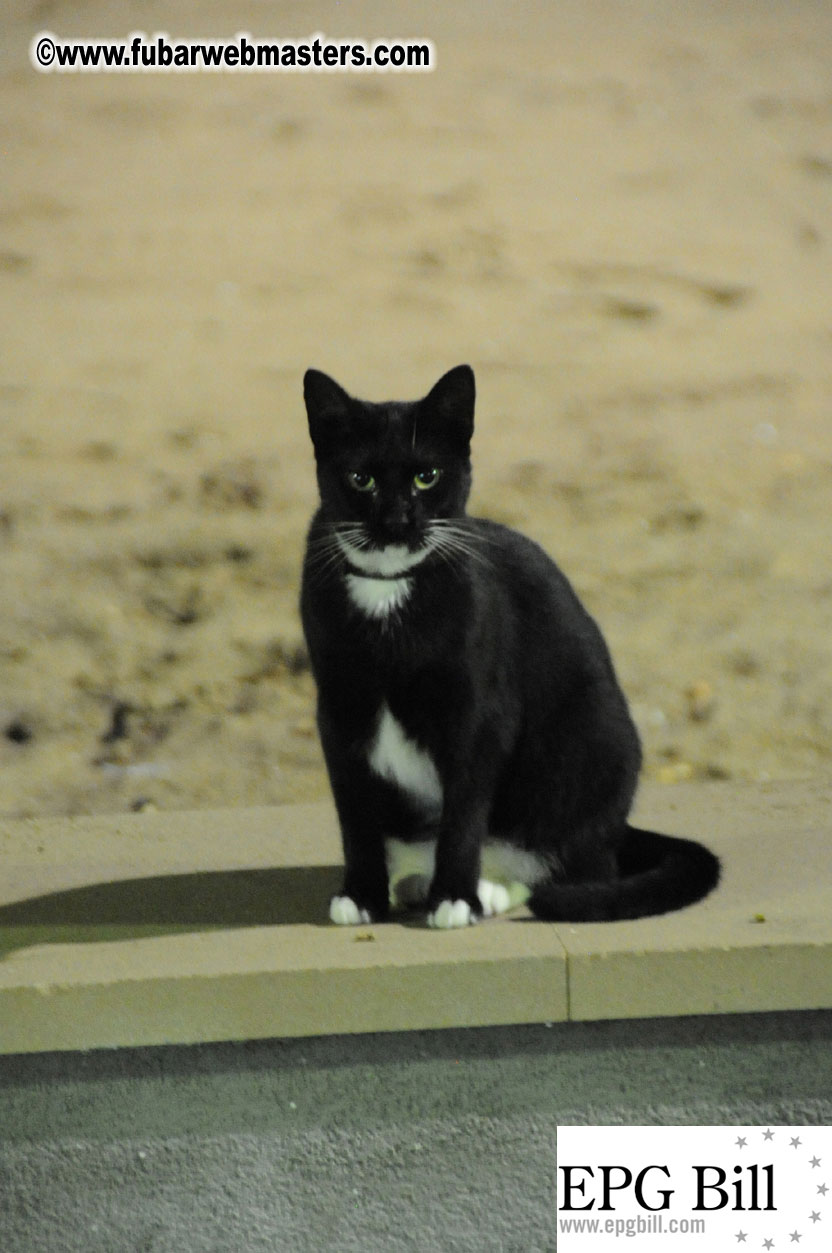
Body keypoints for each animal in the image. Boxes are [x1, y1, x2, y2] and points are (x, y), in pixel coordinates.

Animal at [300, 365, 721, 932]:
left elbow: (463, 815)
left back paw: (491, 888)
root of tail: (617, 826)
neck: (387, 598)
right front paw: (362, 893)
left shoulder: (478, 712)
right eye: (359, 480)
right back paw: (409, 881)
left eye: (426, 476)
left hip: (592, 748)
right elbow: (354, 814)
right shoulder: (338, 710)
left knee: (580, 867)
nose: (396, 520)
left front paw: (456, 897)